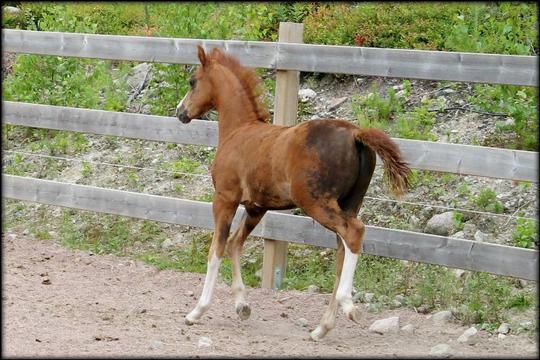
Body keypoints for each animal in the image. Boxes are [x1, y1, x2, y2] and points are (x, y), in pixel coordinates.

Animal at [176, 45, 410, 340]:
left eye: (192, 81)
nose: (180, 111)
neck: (238, 132)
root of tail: (355, 133)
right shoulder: (257, 207)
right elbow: (234, 244)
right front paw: (242, 307)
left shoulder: (224, 199)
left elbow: (216, 249)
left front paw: (197, 311)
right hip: (349, 203)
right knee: (342, 250)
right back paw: (322, 328)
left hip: (316, 203)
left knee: (355, 232)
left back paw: (348, 306)